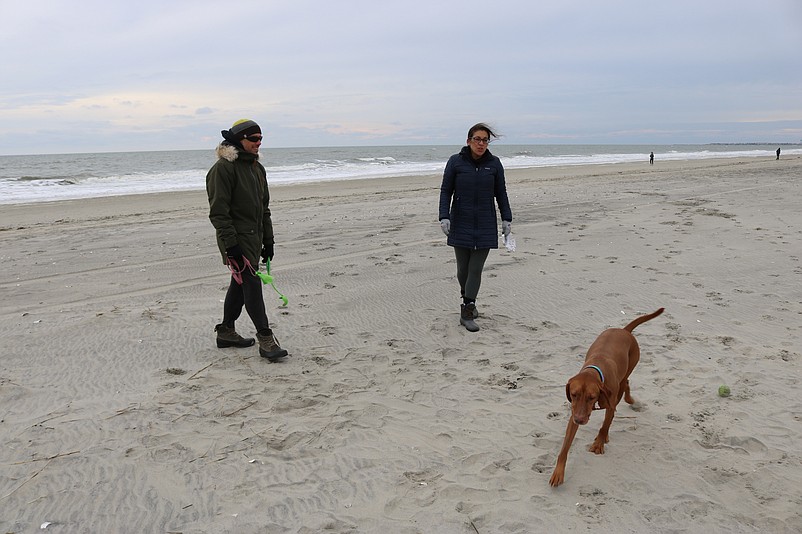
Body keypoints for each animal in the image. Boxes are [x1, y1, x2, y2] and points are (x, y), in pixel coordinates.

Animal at [548, 310, 664, 490]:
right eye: (574, 394)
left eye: (591, 397)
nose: (580, 420)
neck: (595, 370)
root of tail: (624, 330)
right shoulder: (574, 414)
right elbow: (565, 447)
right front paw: (558, 472)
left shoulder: (609, 404)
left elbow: (604, 425)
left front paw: (599, 444)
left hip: (628, 370)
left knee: (625, 384)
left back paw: (629, 401)